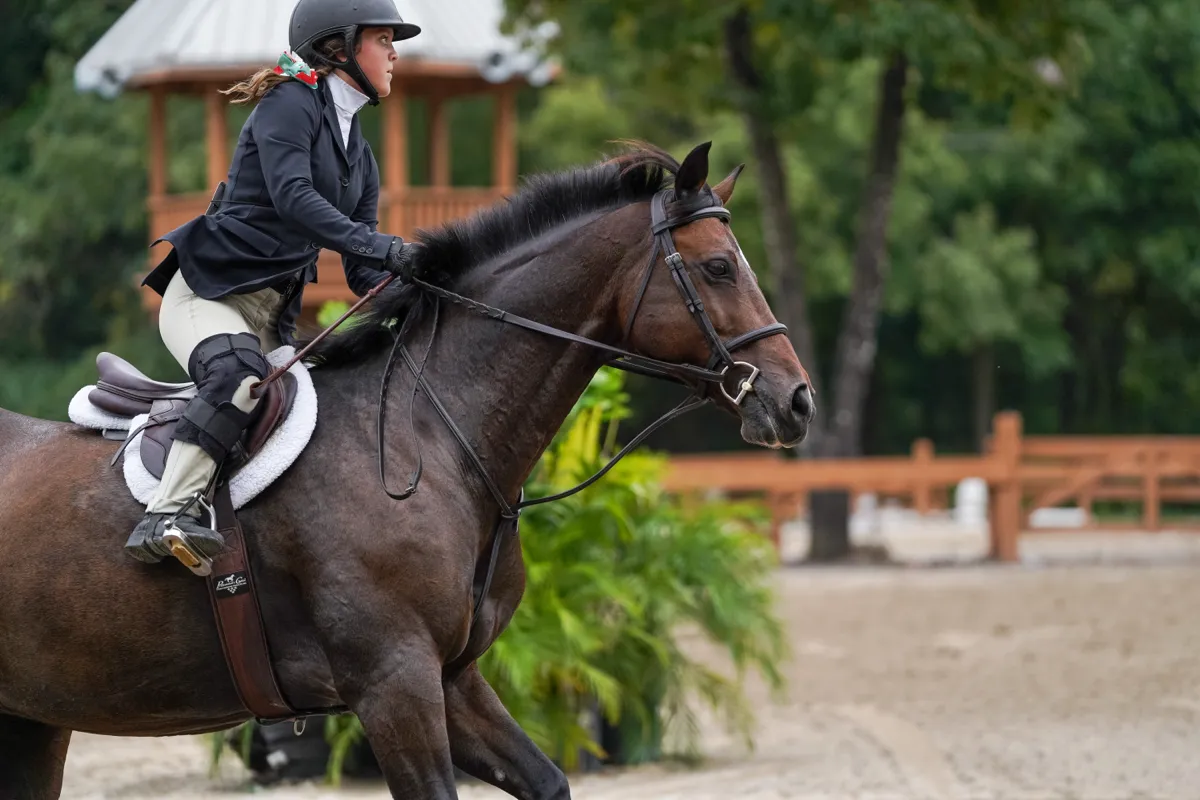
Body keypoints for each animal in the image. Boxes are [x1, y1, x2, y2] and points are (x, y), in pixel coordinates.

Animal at [0, 141, 813, 799]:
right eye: (718, 267)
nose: (796, 401)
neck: (435, 438)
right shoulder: (394, 683)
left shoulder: (451, 678)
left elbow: (548, 781)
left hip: (34, 718)